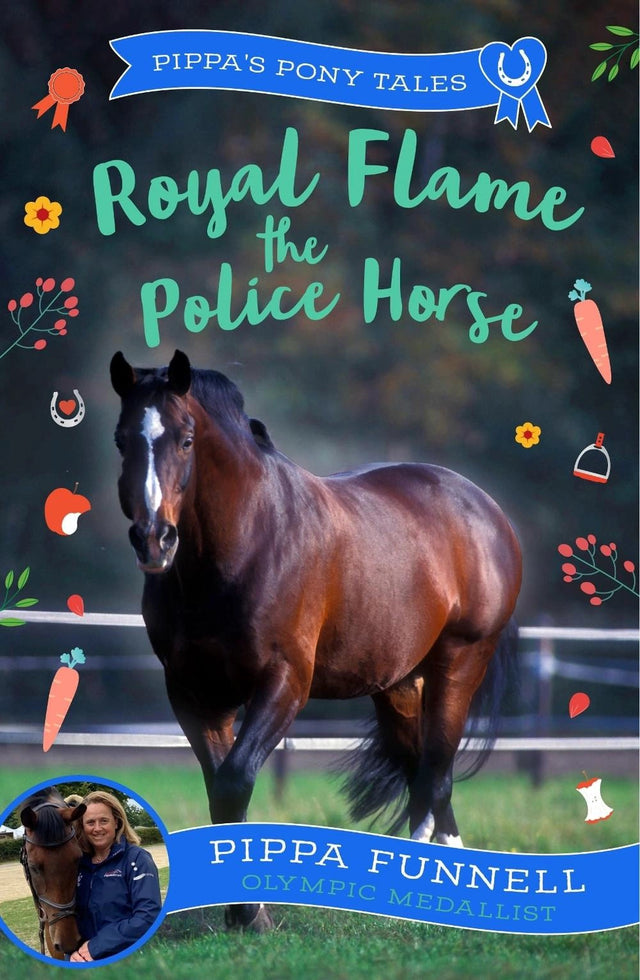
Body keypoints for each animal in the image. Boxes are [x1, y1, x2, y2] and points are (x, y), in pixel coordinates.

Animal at [110, 349, 522, 932]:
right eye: (122, 439)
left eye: (187, 439)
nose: (154, 539)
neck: (245, 544)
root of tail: (485, 509)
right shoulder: (194, 693)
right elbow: (219, 788)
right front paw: (242, 911)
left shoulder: (284, 682)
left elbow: (235, 781)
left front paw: (251, 916)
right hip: (397, 683)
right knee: (420, 772)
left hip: (460, 663)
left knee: (436, 775)